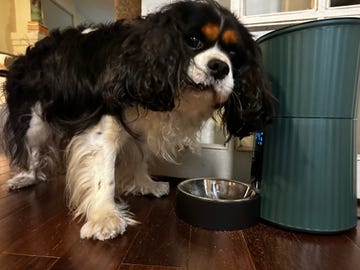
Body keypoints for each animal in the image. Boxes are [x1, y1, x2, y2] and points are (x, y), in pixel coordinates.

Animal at [0, 0, 272, 240]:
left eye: (233, 54)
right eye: (193, 41)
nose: (220, 67)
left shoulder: (140, 129)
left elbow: (139, 159)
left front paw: (146, 185)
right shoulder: (102, 128)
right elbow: (104, 174)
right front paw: (105, 217)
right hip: (34, 121)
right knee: (31, 149)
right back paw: (26, 177)